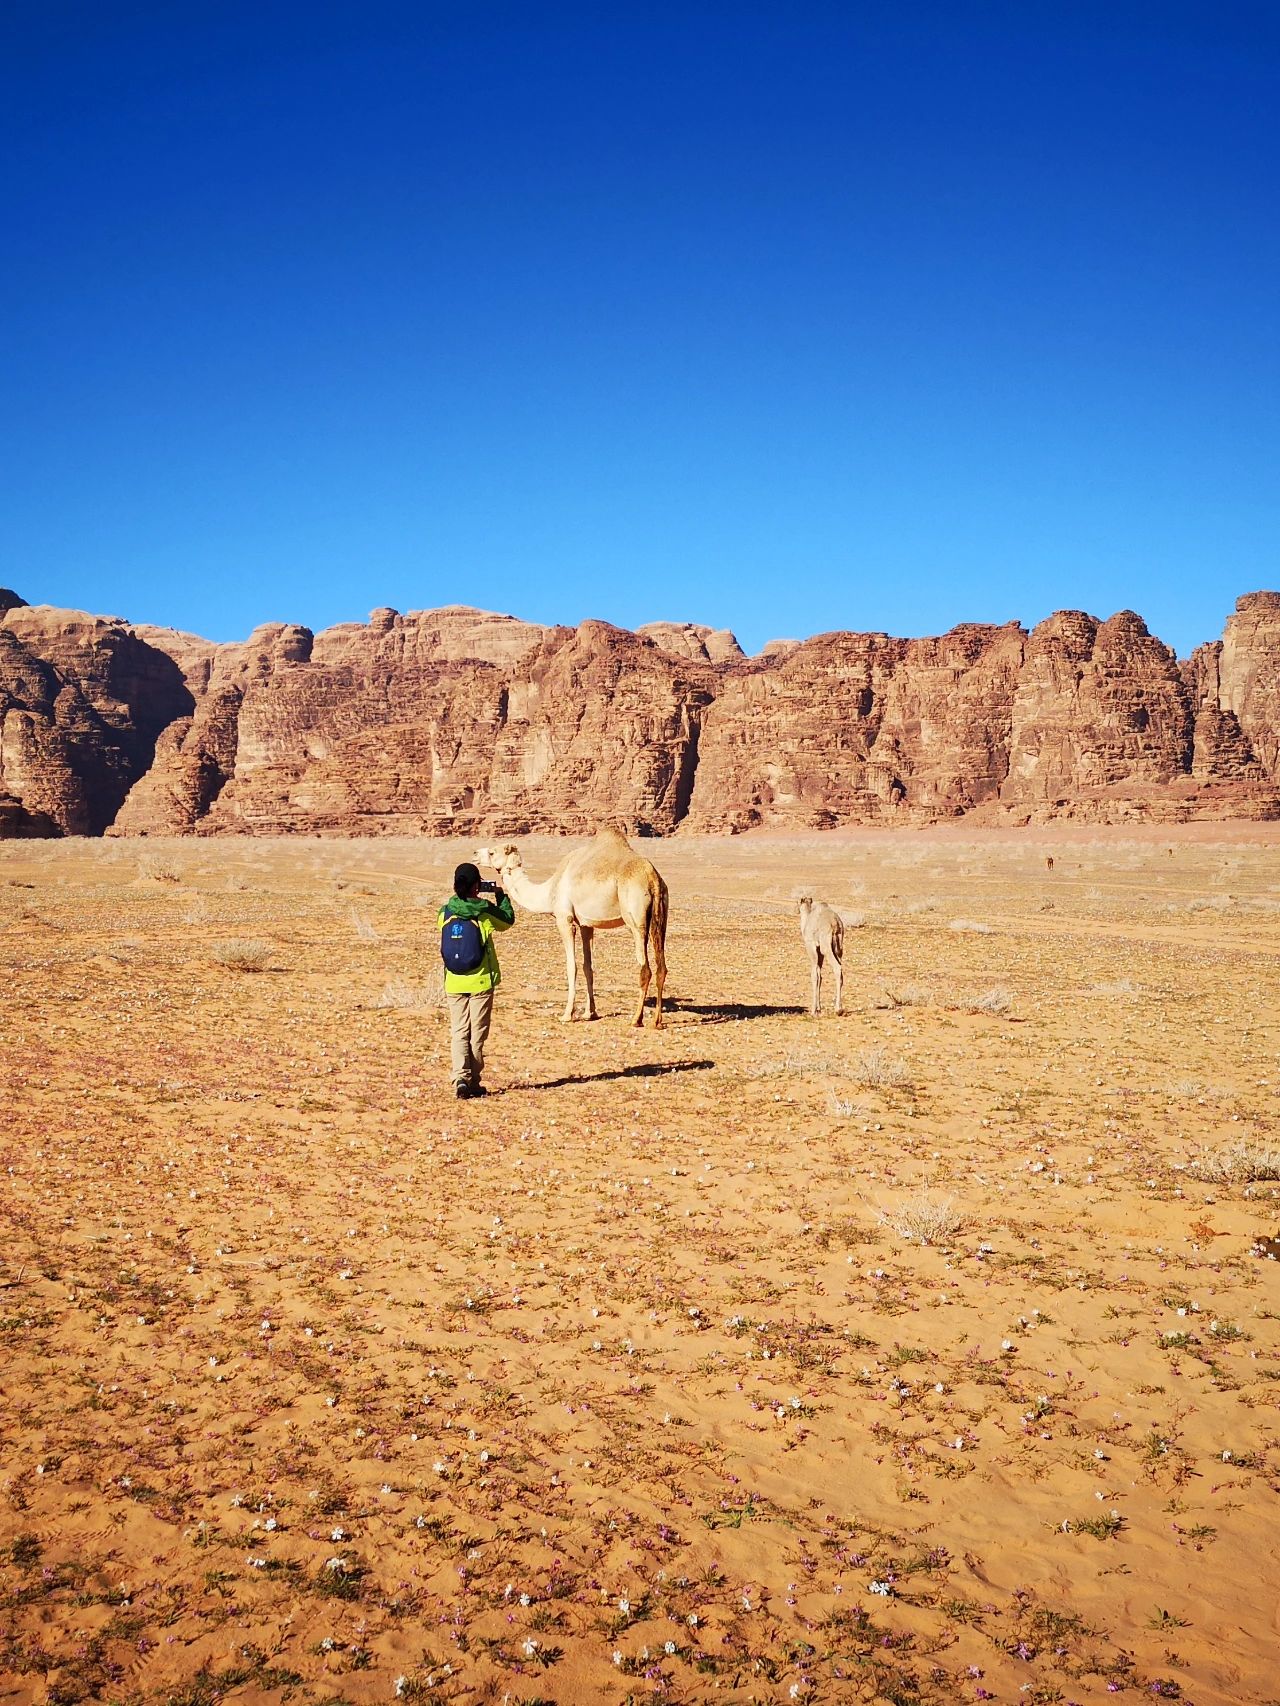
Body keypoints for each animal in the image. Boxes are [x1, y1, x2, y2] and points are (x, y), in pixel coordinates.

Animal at [474, 825, 672, 1023]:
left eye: (492, 852)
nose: (475, 853)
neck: (550, 890)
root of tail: (652, 878)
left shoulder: (565, 919)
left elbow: (572, 966)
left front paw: (567, 1014)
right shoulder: (586, 925)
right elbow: (587, 967)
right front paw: (590, 1013)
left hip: (635, 918)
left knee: (645, 968)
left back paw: (636, 1019)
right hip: (661, 916)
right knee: (661, 968)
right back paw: (656, 1021)